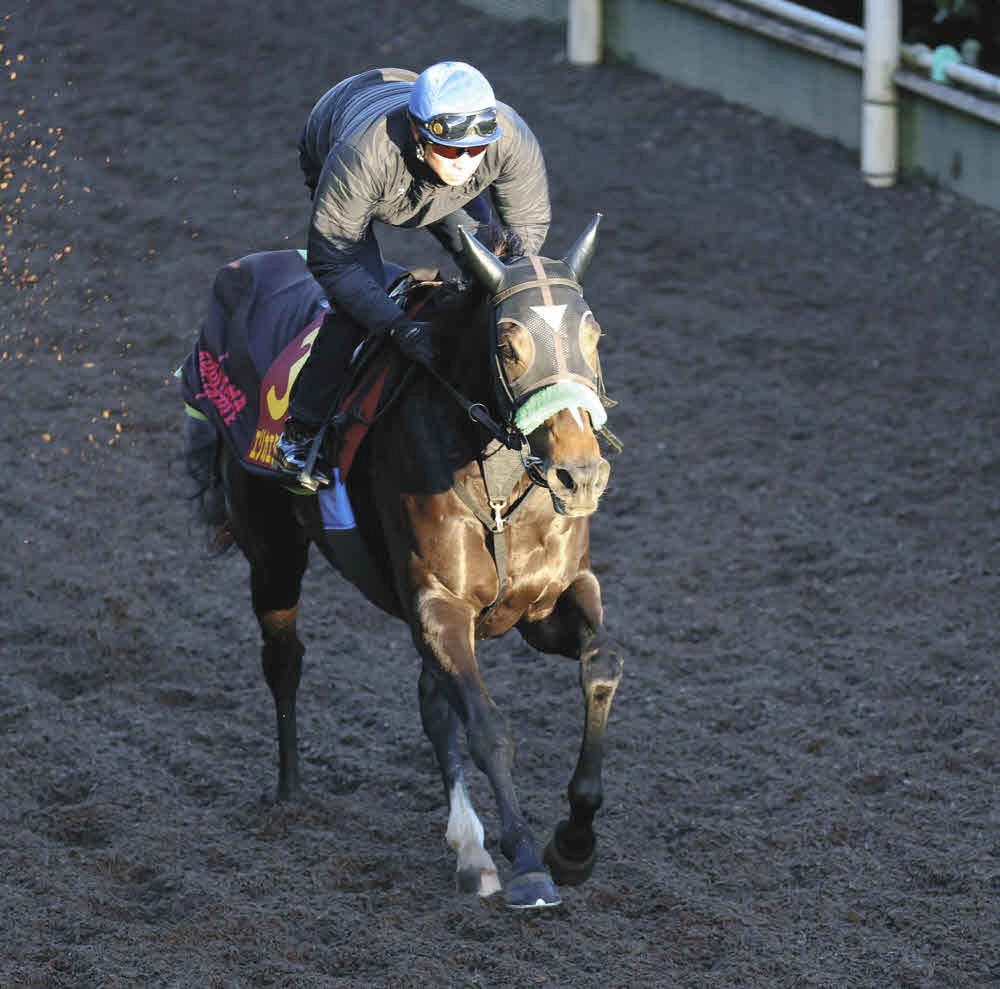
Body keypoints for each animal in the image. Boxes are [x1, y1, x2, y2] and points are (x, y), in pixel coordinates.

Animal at [213, 217, 623, 909]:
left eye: (594, 337)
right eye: (509, 345)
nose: (581, 474)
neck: (497, 483)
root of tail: (243, 268)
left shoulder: (547, 605)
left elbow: (600, 668)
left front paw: (574, 843)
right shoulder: (438, 604)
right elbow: (487, 726)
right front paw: (526, 861)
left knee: (433, 701)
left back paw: (470, 849)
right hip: (271, 547)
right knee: (285, 660)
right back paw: (291, 793)